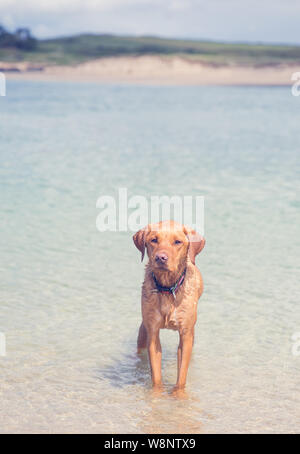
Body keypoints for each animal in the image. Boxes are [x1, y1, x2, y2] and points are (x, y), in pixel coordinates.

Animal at [133, 222, 205, 392]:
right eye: (153, 240)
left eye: (177, 242)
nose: (160, 257)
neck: (167, 288)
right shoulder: (153, 333)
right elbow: (156, 376)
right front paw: (157, 394)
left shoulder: (186, 334)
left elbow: (181, 376)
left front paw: (178, 394)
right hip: (143, 330)